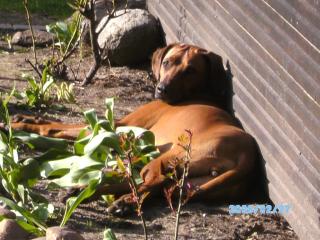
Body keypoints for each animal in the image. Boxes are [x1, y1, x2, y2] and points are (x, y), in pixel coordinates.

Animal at [4, 43, 258, 212]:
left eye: (190, 70)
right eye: (167, 63)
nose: (162, 89)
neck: (199, 92)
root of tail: (249, 155)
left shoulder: (120, 127)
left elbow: (61, 127)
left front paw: (18, 124)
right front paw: (28, 119)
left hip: (172, 156)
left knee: (151, 183)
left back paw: (112, 200)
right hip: (192, 183)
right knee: (156, 187)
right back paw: (85, 193)